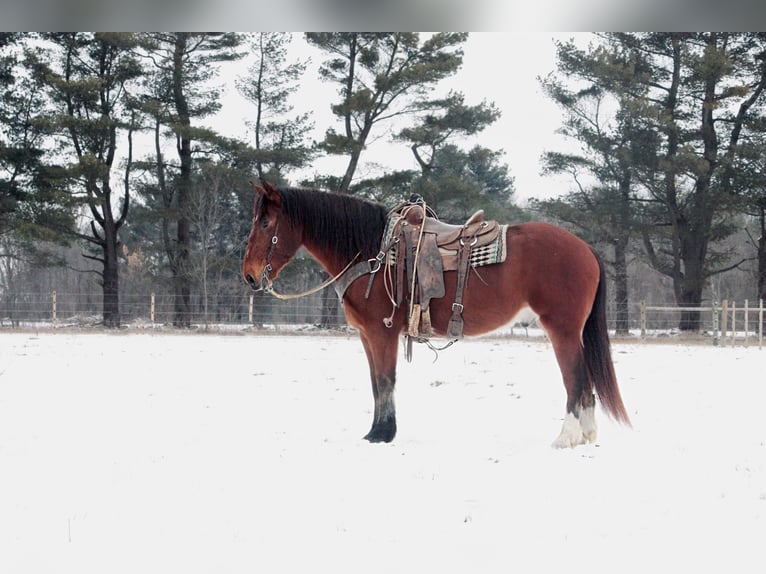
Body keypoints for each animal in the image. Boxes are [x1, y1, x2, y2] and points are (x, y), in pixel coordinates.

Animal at [243, 182, 632, 448]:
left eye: (266, 224)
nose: (249, 275)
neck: (372, 252)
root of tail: (585, 248)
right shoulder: (367, 336)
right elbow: (375, 384)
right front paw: (375, 432)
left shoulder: (382, 332)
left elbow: (386, 381)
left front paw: (384, 434)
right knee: (585, 380)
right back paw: (586, 435)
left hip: (562, 330)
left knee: (575, 378)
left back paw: (566, 437)